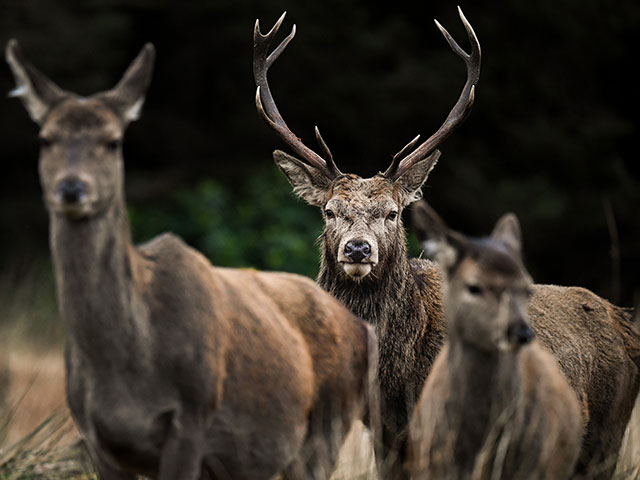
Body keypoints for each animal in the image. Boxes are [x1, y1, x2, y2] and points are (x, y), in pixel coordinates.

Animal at [7, 40, 378, 480]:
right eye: (45, 139)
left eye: (114, 141)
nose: (71, 189)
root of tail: (361, 328)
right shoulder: (95, 439)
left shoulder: (192, 418)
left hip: (326, 428)